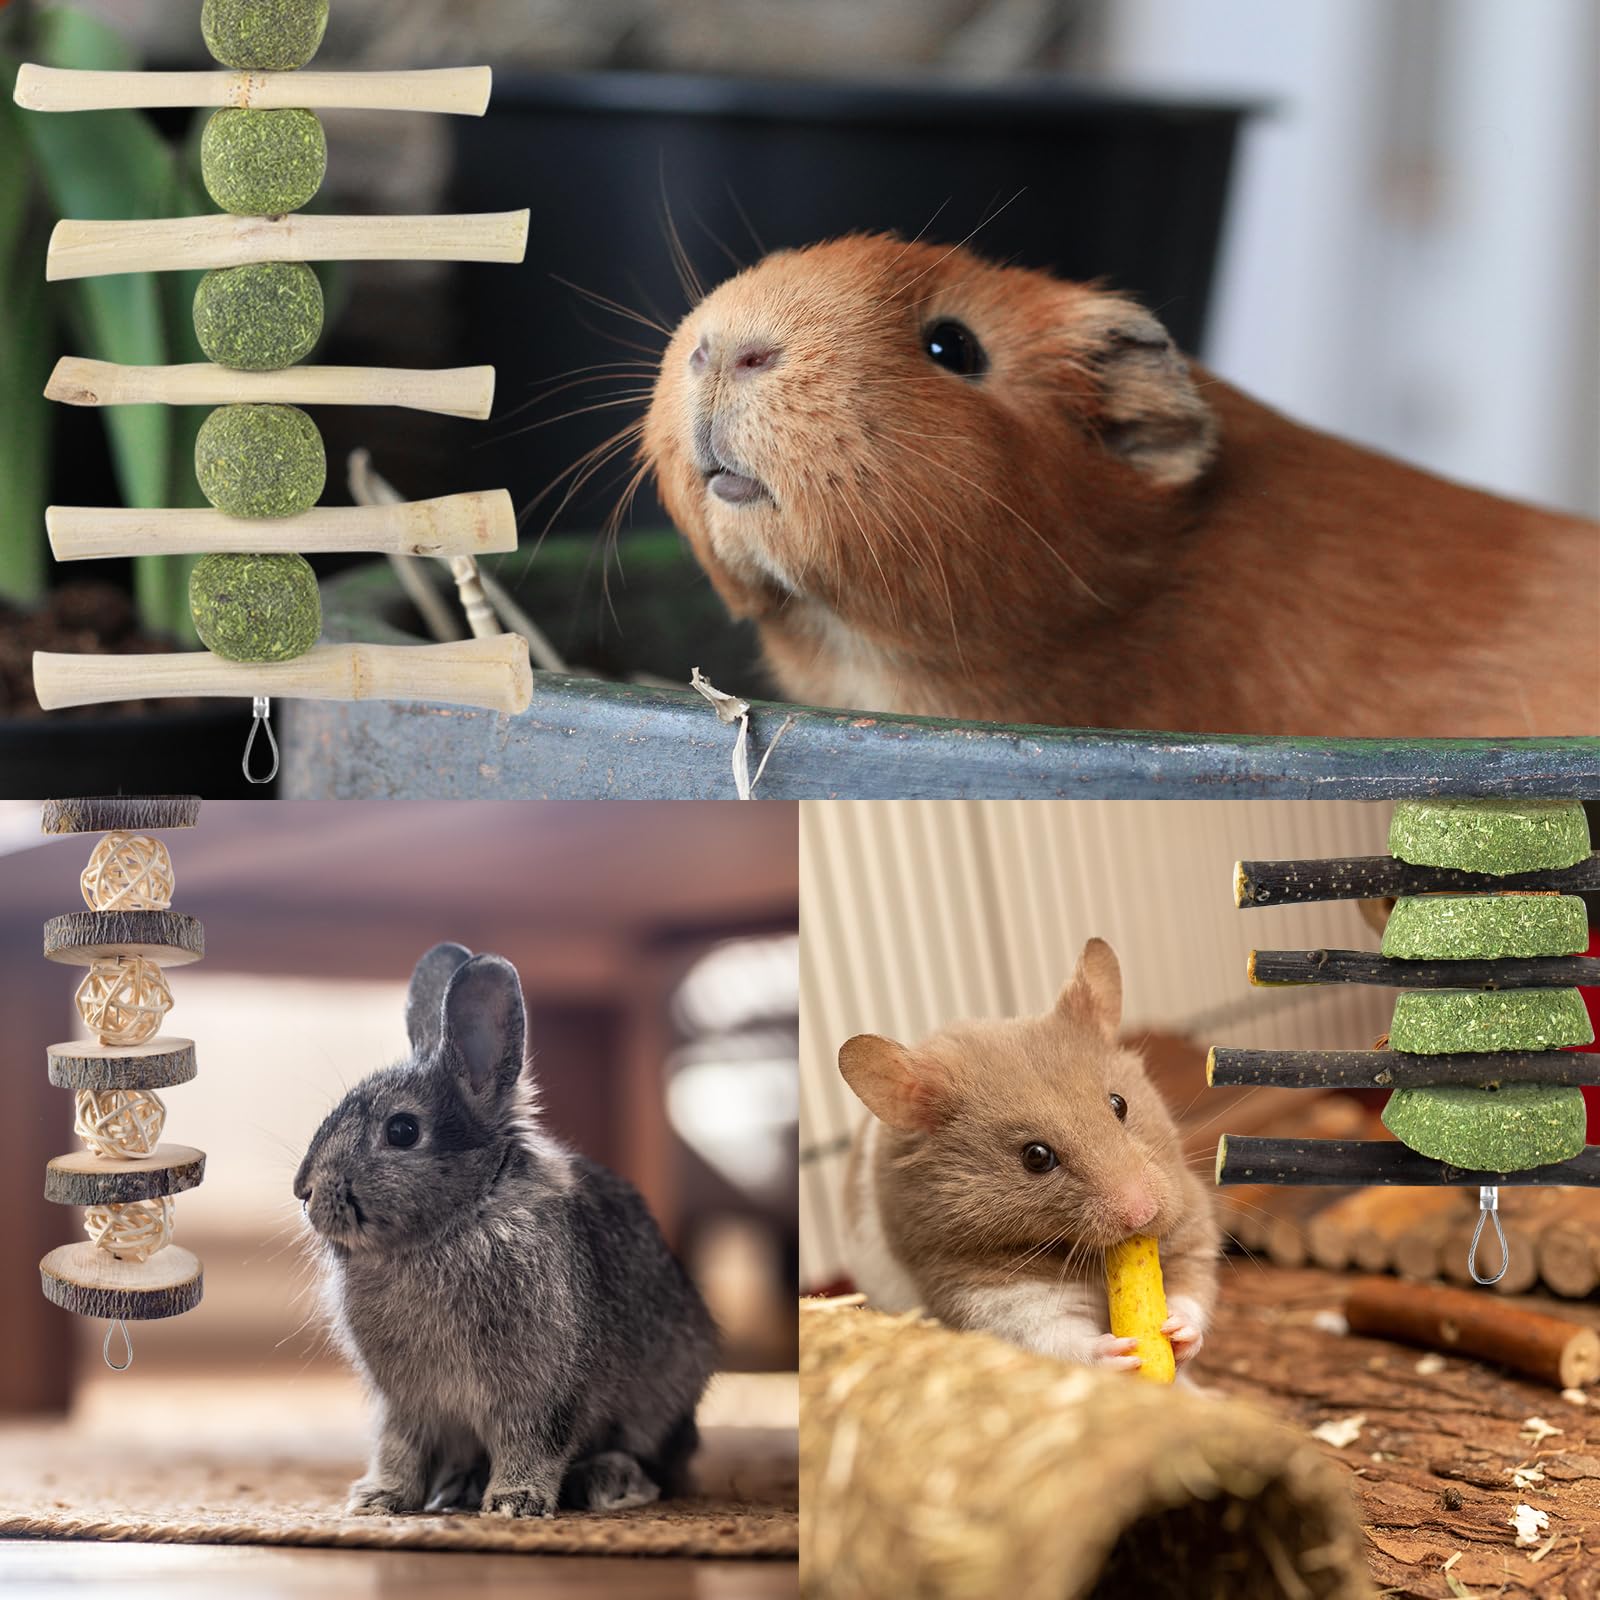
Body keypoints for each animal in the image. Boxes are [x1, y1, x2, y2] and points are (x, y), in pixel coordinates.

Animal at [294, 942, 718, 1519]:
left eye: (402, 1130)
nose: (304, 1191)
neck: (460, 1218)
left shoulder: (541, 1391)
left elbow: (532, 1443)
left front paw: (514, 1504)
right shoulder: (407, 1404)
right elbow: (399, 1447)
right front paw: (379, 1499)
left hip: (658, 1405)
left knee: (656, 1462)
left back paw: (609, 1482)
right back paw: (458, 1486)